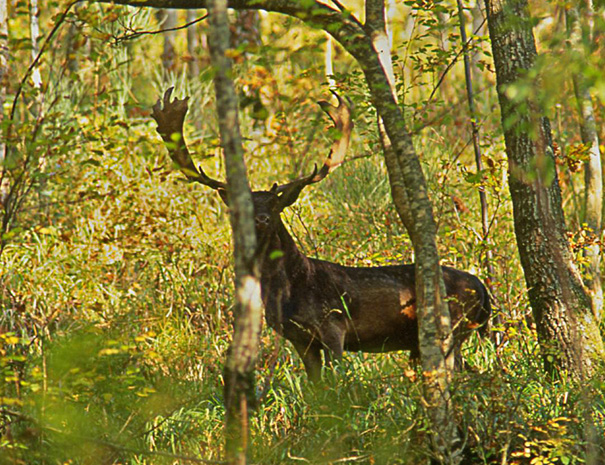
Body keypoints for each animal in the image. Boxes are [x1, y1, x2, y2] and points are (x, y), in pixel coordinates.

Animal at [151, 87, 490, 380]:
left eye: (275, 204)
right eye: (246, 205)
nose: (261, 219)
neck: (289, 292)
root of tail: (484, 290)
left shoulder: (333, 324)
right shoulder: (300, 339)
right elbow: (316, 387)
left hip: (454, 325)